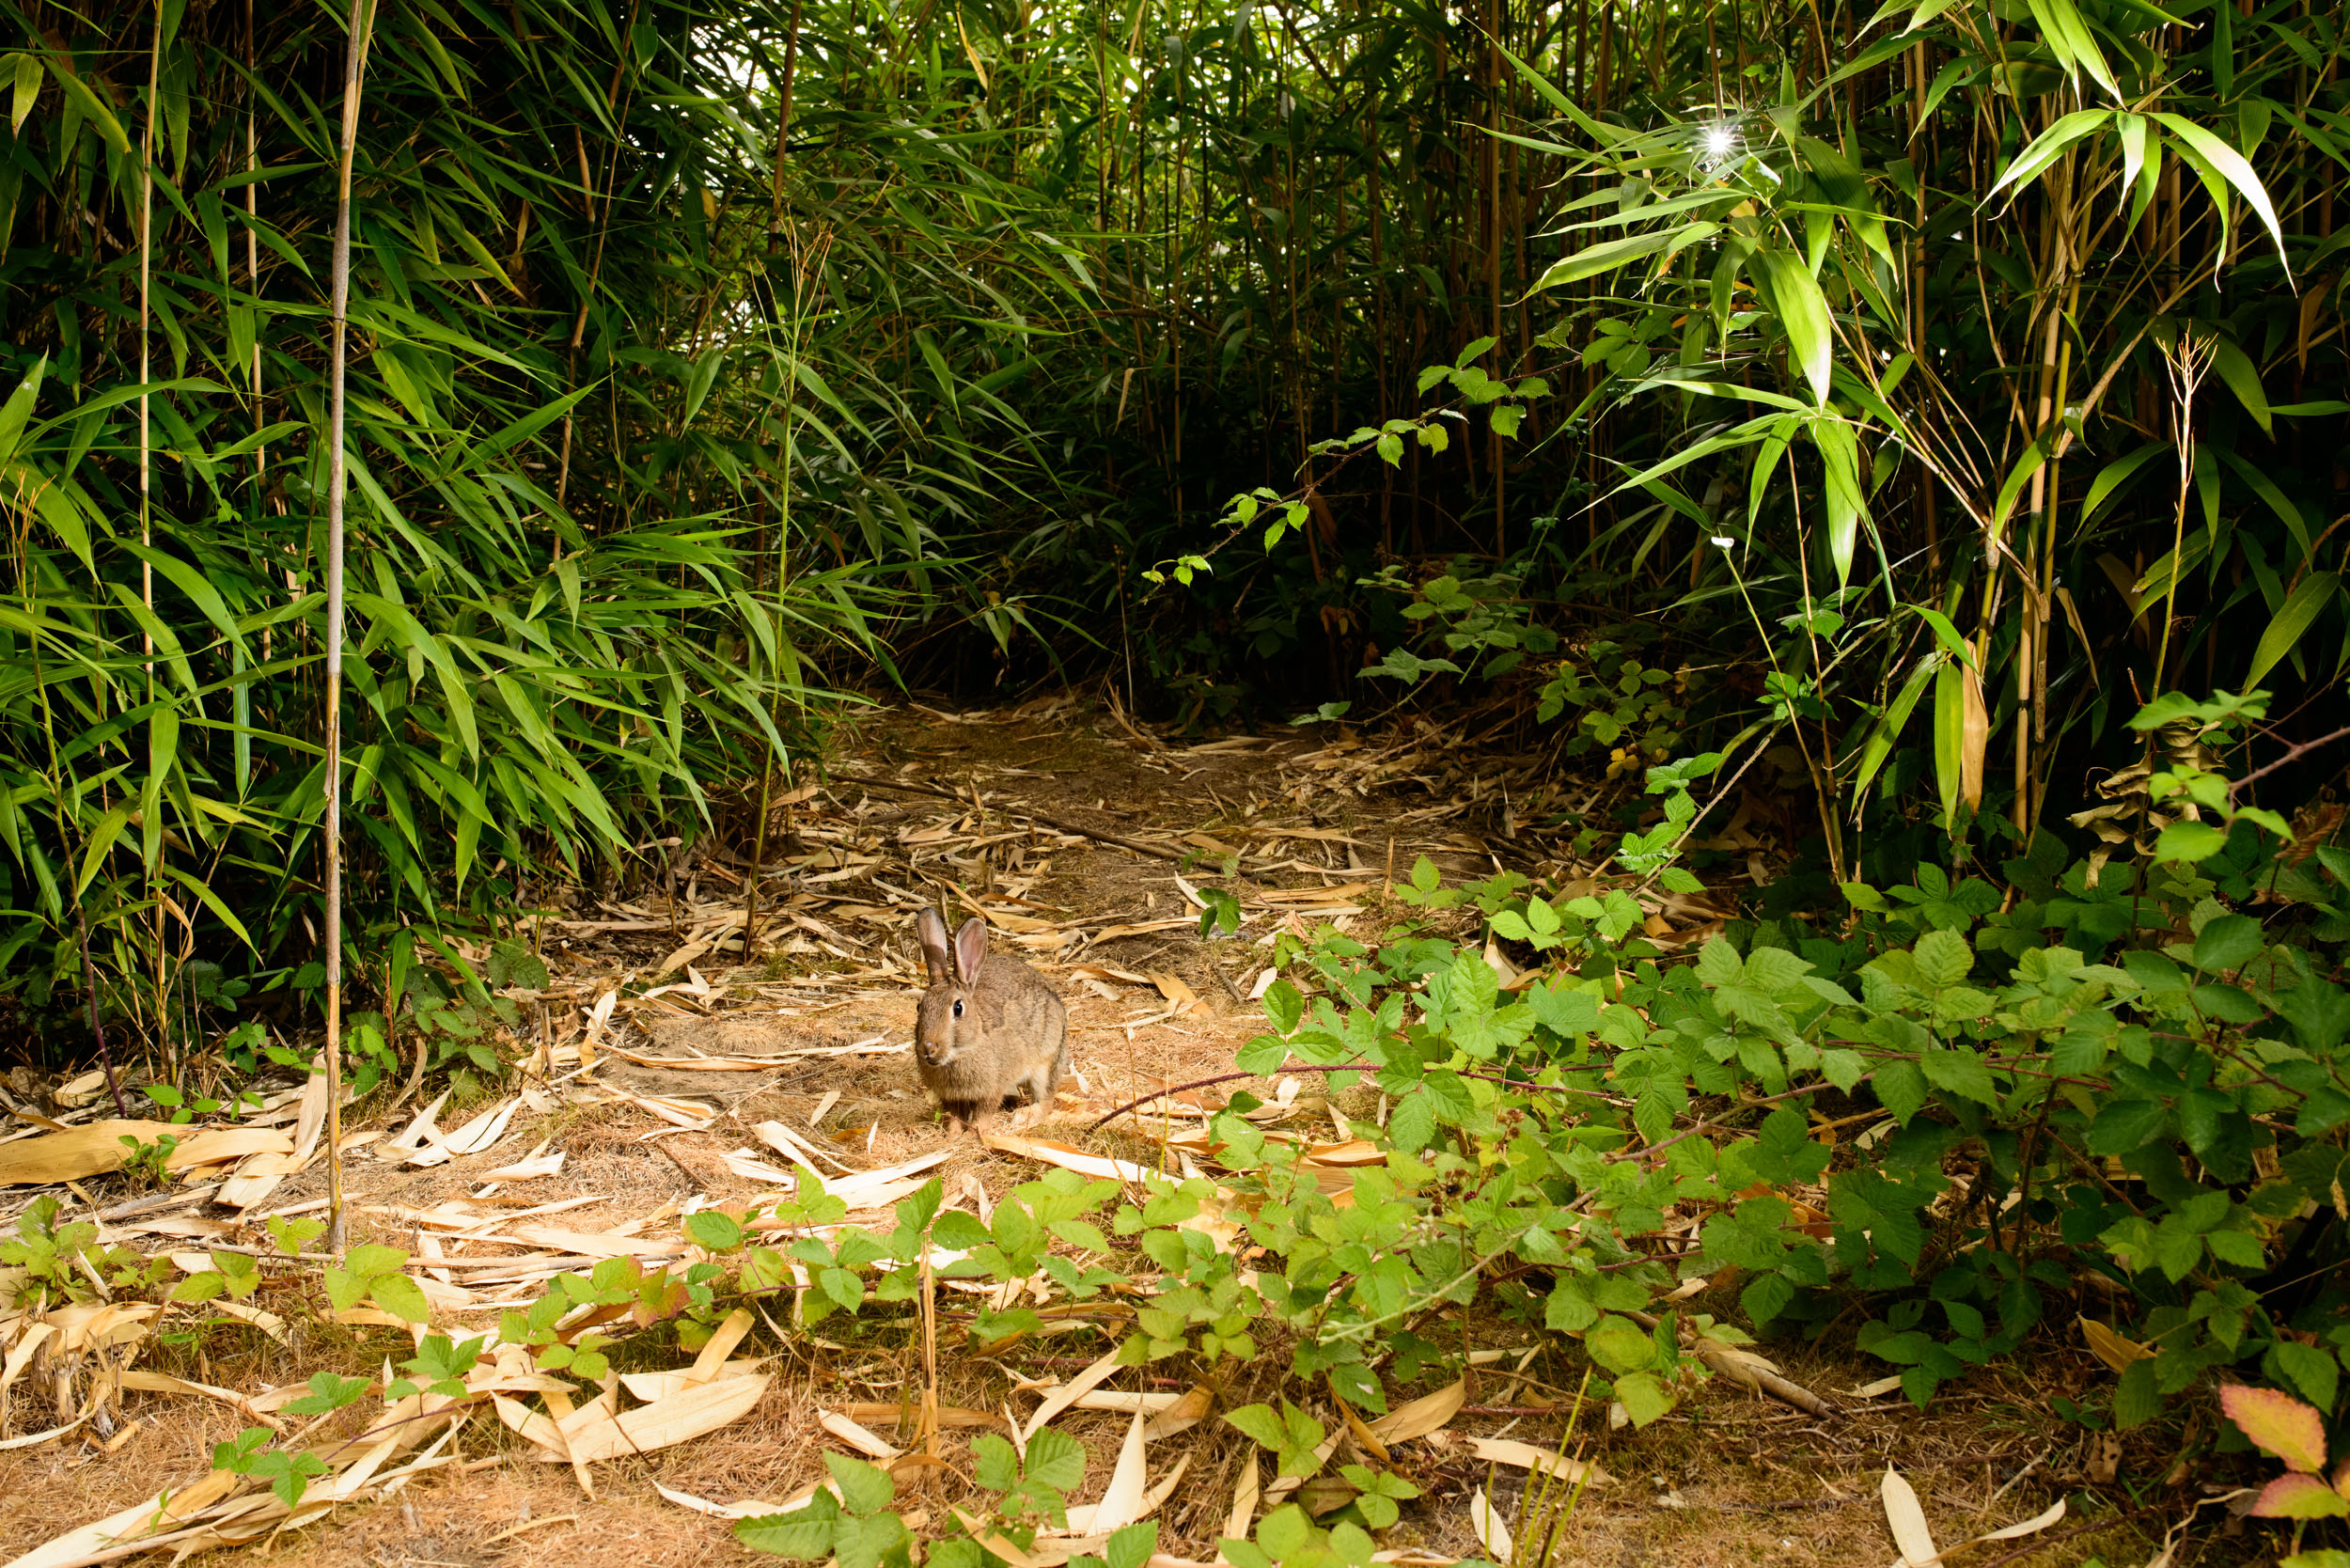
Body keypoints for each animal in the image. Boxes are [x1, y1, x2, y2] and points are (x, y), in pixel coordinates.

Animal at [914, 907, 1069, 1133]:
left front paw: (973, 1134)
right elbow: (954, 1116)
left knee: (1047, 1099)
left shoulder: (992, 1089)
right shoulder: (951, 1098)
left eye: (958, 1008)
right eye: (919, 1007)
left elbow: (983, 1114)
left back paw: (1022, 1116)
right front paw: (952, 1135)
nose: (928, 1047)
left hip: (1046, 1061)